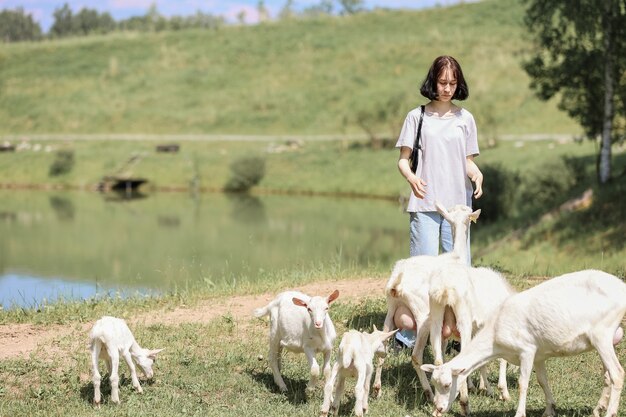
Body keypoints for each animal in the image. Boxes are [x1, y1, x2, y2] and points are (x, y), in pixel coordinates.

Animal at [420, 270, 624, 416]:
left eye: (448, 384)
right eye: (434, 383)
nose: (439, 408)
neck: (495, 336)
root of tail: (622, 287)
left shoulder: (527, 350)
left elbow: (522, 383)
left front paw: (520, 412)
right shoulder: (539, 355)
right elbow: (542, 381)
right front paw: (549, 409)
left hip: (602, 334)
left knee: (617, 374)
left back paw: (610, 412)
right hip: (604, 340)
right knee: (608, 376)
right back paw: (598, 409)